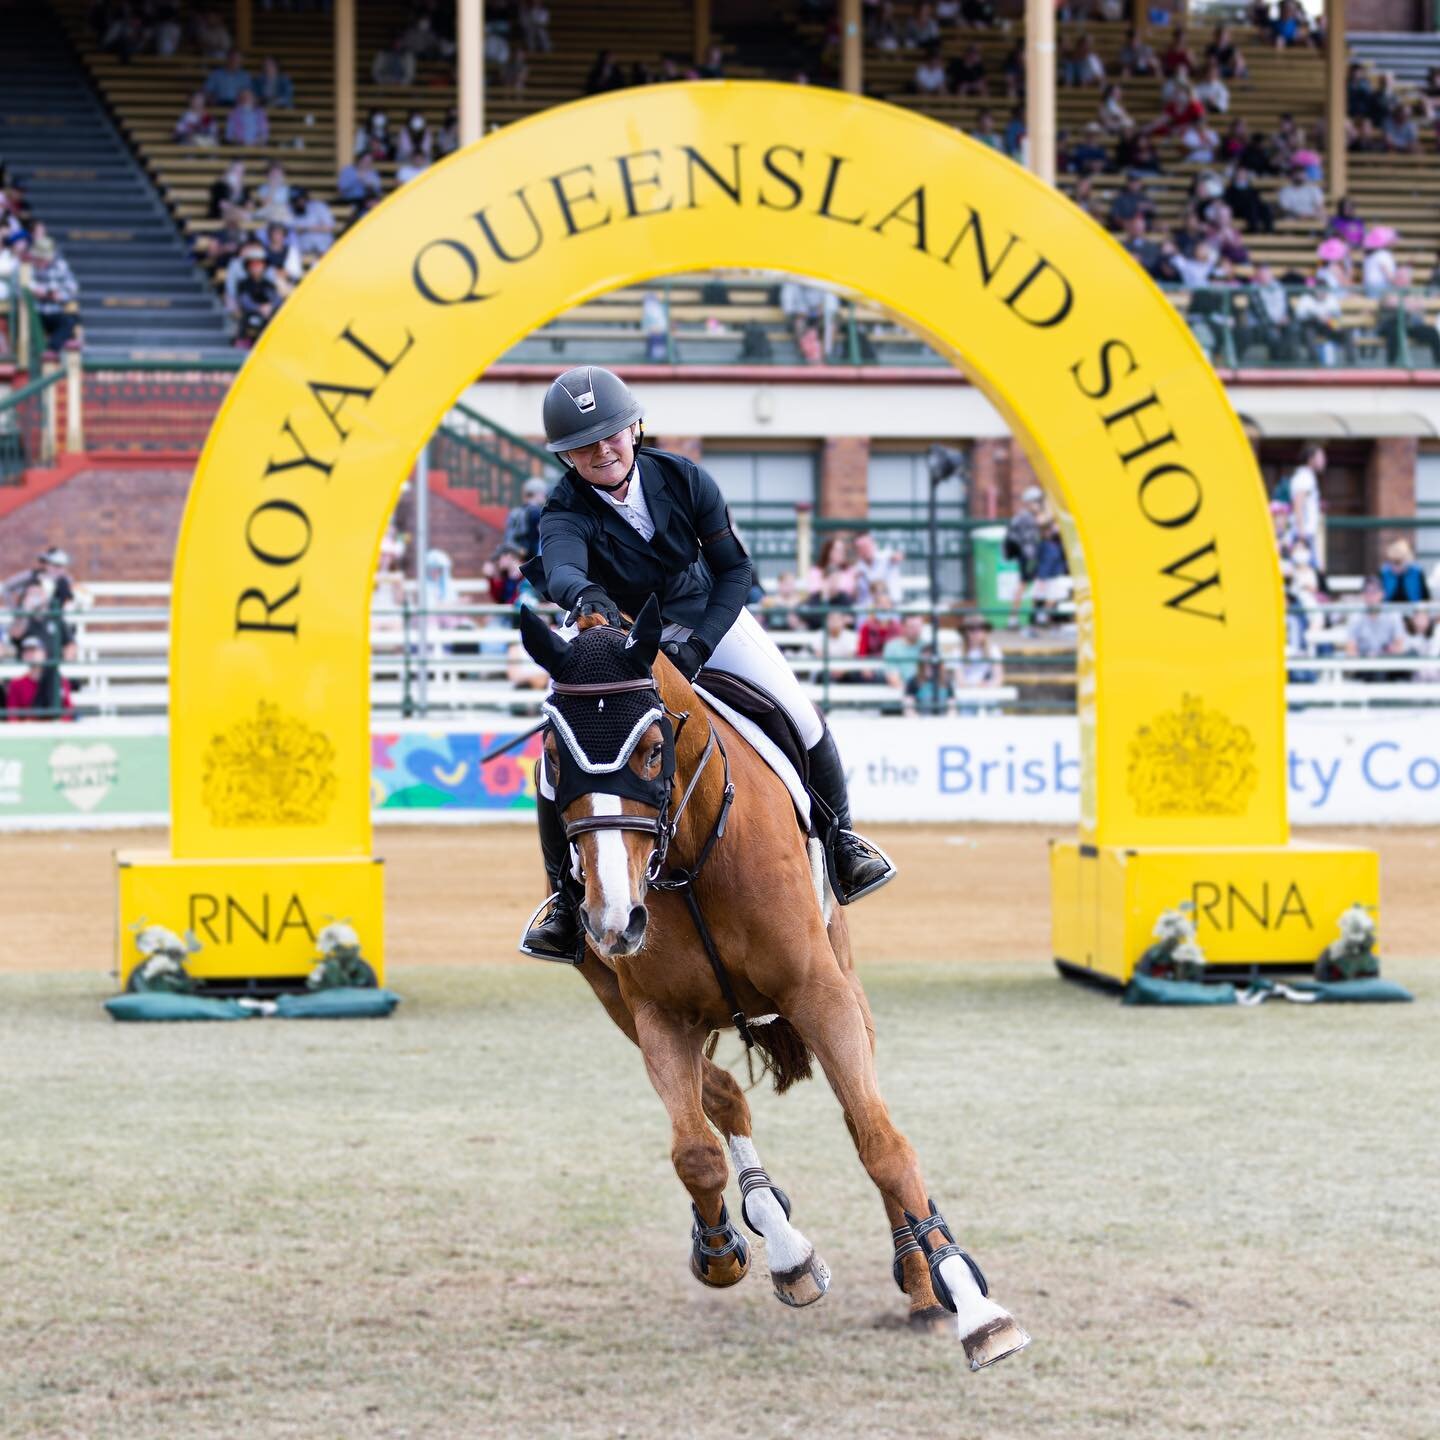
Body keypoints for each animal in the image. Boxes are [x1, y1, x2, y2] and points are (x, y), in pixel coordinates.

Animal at [524, 601, 1031, 1365]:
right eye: (554, 758)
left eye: (652, 750)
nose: (612, 917)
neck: (689, 858)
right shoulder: (654, 1013)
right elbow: (696, 1151)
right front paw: (725, 1250)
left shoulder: (818, 992)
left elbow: (882, 1144)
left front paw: (974, 1310)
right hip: (624, 1003)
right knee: (724, 1101)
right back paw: (783, 1245)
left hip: (841, 977)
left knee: (861, 1116)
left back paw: (920, 1277)